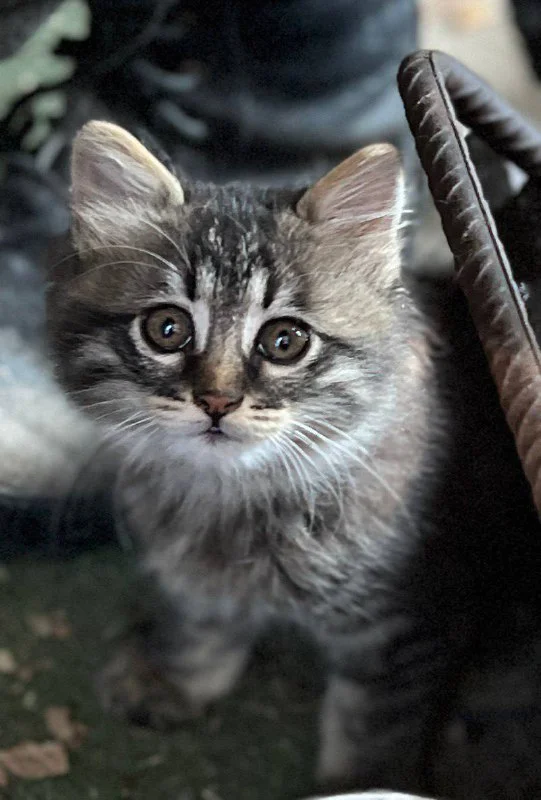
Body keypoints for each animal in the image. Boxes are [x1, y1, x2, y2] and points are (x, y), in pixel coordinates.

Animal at [46, 120, 541, 795]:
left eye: (285, 341)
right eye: (167, 329)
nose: (218, 400)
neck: (240, 499)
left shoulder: (407, 626)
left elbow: (368, 727)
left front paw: (355, 785)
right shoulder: (197, 582)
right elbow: (202, 625)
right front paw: (177, 679)